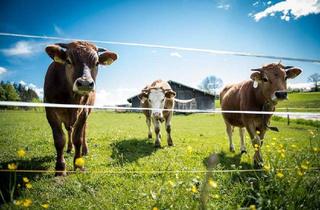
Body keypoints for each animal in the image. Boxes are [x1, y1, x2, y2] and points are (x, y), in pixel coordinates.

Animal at [43, 41, 117, 176]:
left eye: (96, 62)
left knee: (83, 131)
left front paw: (78, 164)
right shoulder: (50, 112)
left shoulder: (84, 111)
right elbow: (59, 139)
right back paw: (69, 148)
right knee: (69, 130)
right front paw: (60, 167)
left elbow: (78, 138)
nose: (85, 83)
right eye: (68, 60)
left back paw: (84, 150)